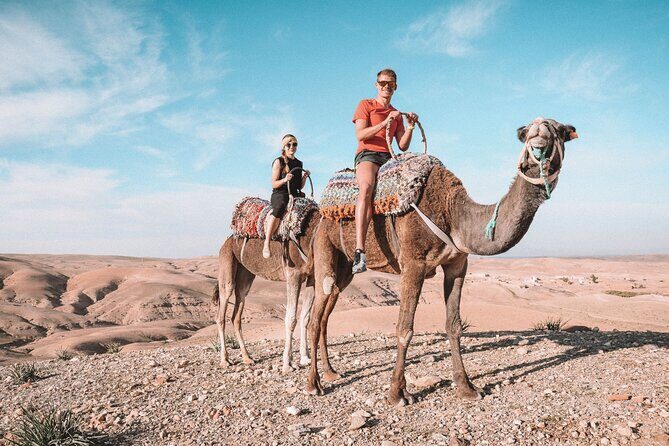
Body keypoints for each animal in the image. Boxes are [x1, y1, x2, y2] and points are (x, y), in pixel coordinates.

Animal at [213, 212, 319, 373]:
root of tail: (227, 241)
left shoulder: (311, 276)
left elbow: (305, 317)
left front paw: (305, 358)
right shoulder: (293, 274)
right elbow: (291, 318)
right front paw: (288, 364)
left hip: (245, 275)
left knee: (237, 312)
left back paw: (247, 358)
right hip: (227, 262)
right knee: (221, 313)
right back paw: (224, 360)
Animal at [306, 117, 578, 405]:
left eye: (559, 130)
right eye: (526, 133)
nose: (539, 135)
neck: (453, 213)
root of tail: (322, 212)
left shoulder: (457, 264)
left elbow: (454, 326)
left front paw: (466, 387)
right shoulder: (413, 263)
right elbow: (405, 328)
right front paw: (397, 393)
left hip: (345, 268)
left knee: (325, 314)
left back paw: (331, 372)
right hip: (324, 247)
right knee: (316, 314)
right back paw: (314, 384)